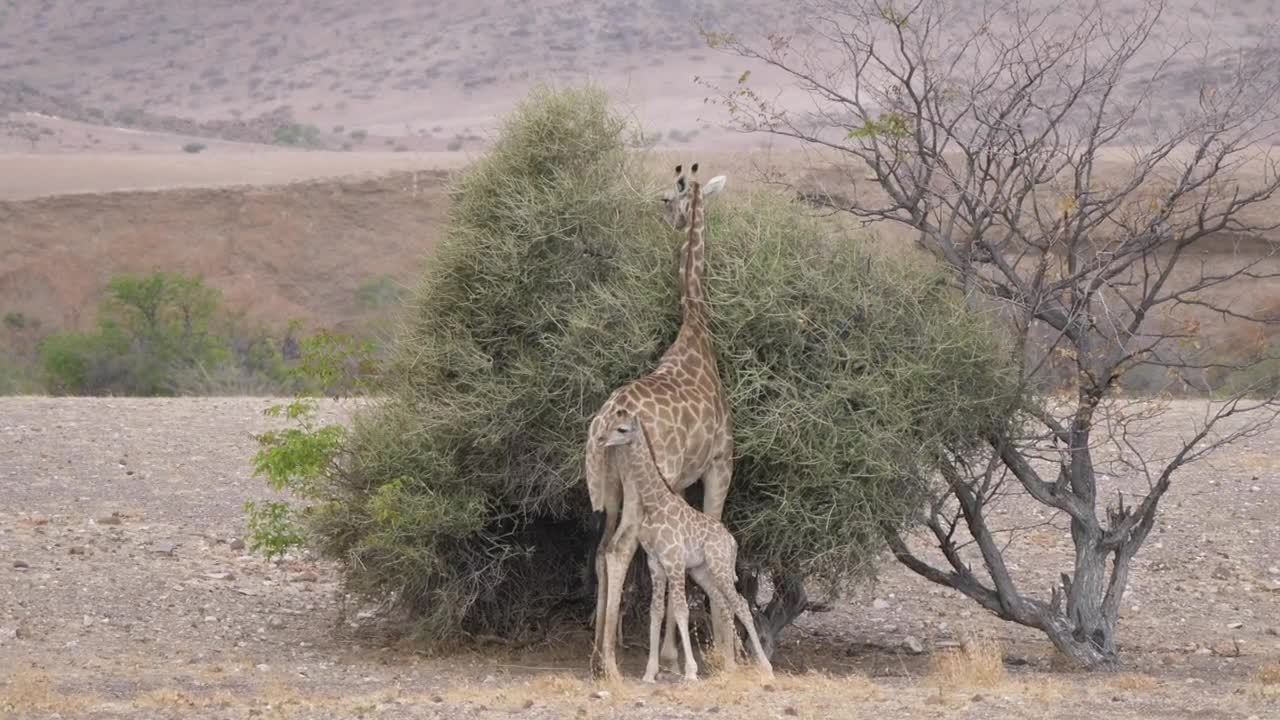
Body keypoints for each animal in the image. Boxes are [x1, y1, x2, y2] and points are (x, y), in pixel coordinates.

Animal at [585, 162, 736, 681]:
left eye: (668, 200)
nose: (668, 221)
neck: (695, 326)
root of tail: (602, 420)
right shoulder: (718, 465)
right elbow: (710, 539)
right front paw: (718, 652)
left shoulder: (680, 483)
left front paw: (672, 657)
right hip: (646, 480)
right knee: (619, 549)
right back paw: (611, 666)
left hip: (612, 486)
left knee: (601, 549)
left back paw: (598, 654)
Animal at [601, 409, 773, 683]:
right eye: (609, 425)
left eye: (622, 429)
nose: (601, 440)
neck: (655, 503)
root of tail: (732, 542)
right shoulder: (655, 563)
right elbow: (656, 612)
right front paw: (649, 673)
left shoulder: (673, 561)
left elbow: (681, 610)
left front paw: (690, 671)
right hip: (701, 571)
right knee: (724, 603)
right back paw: (732, 665)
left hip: (719, 566)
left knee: (742, 604)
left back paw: (765, 667)